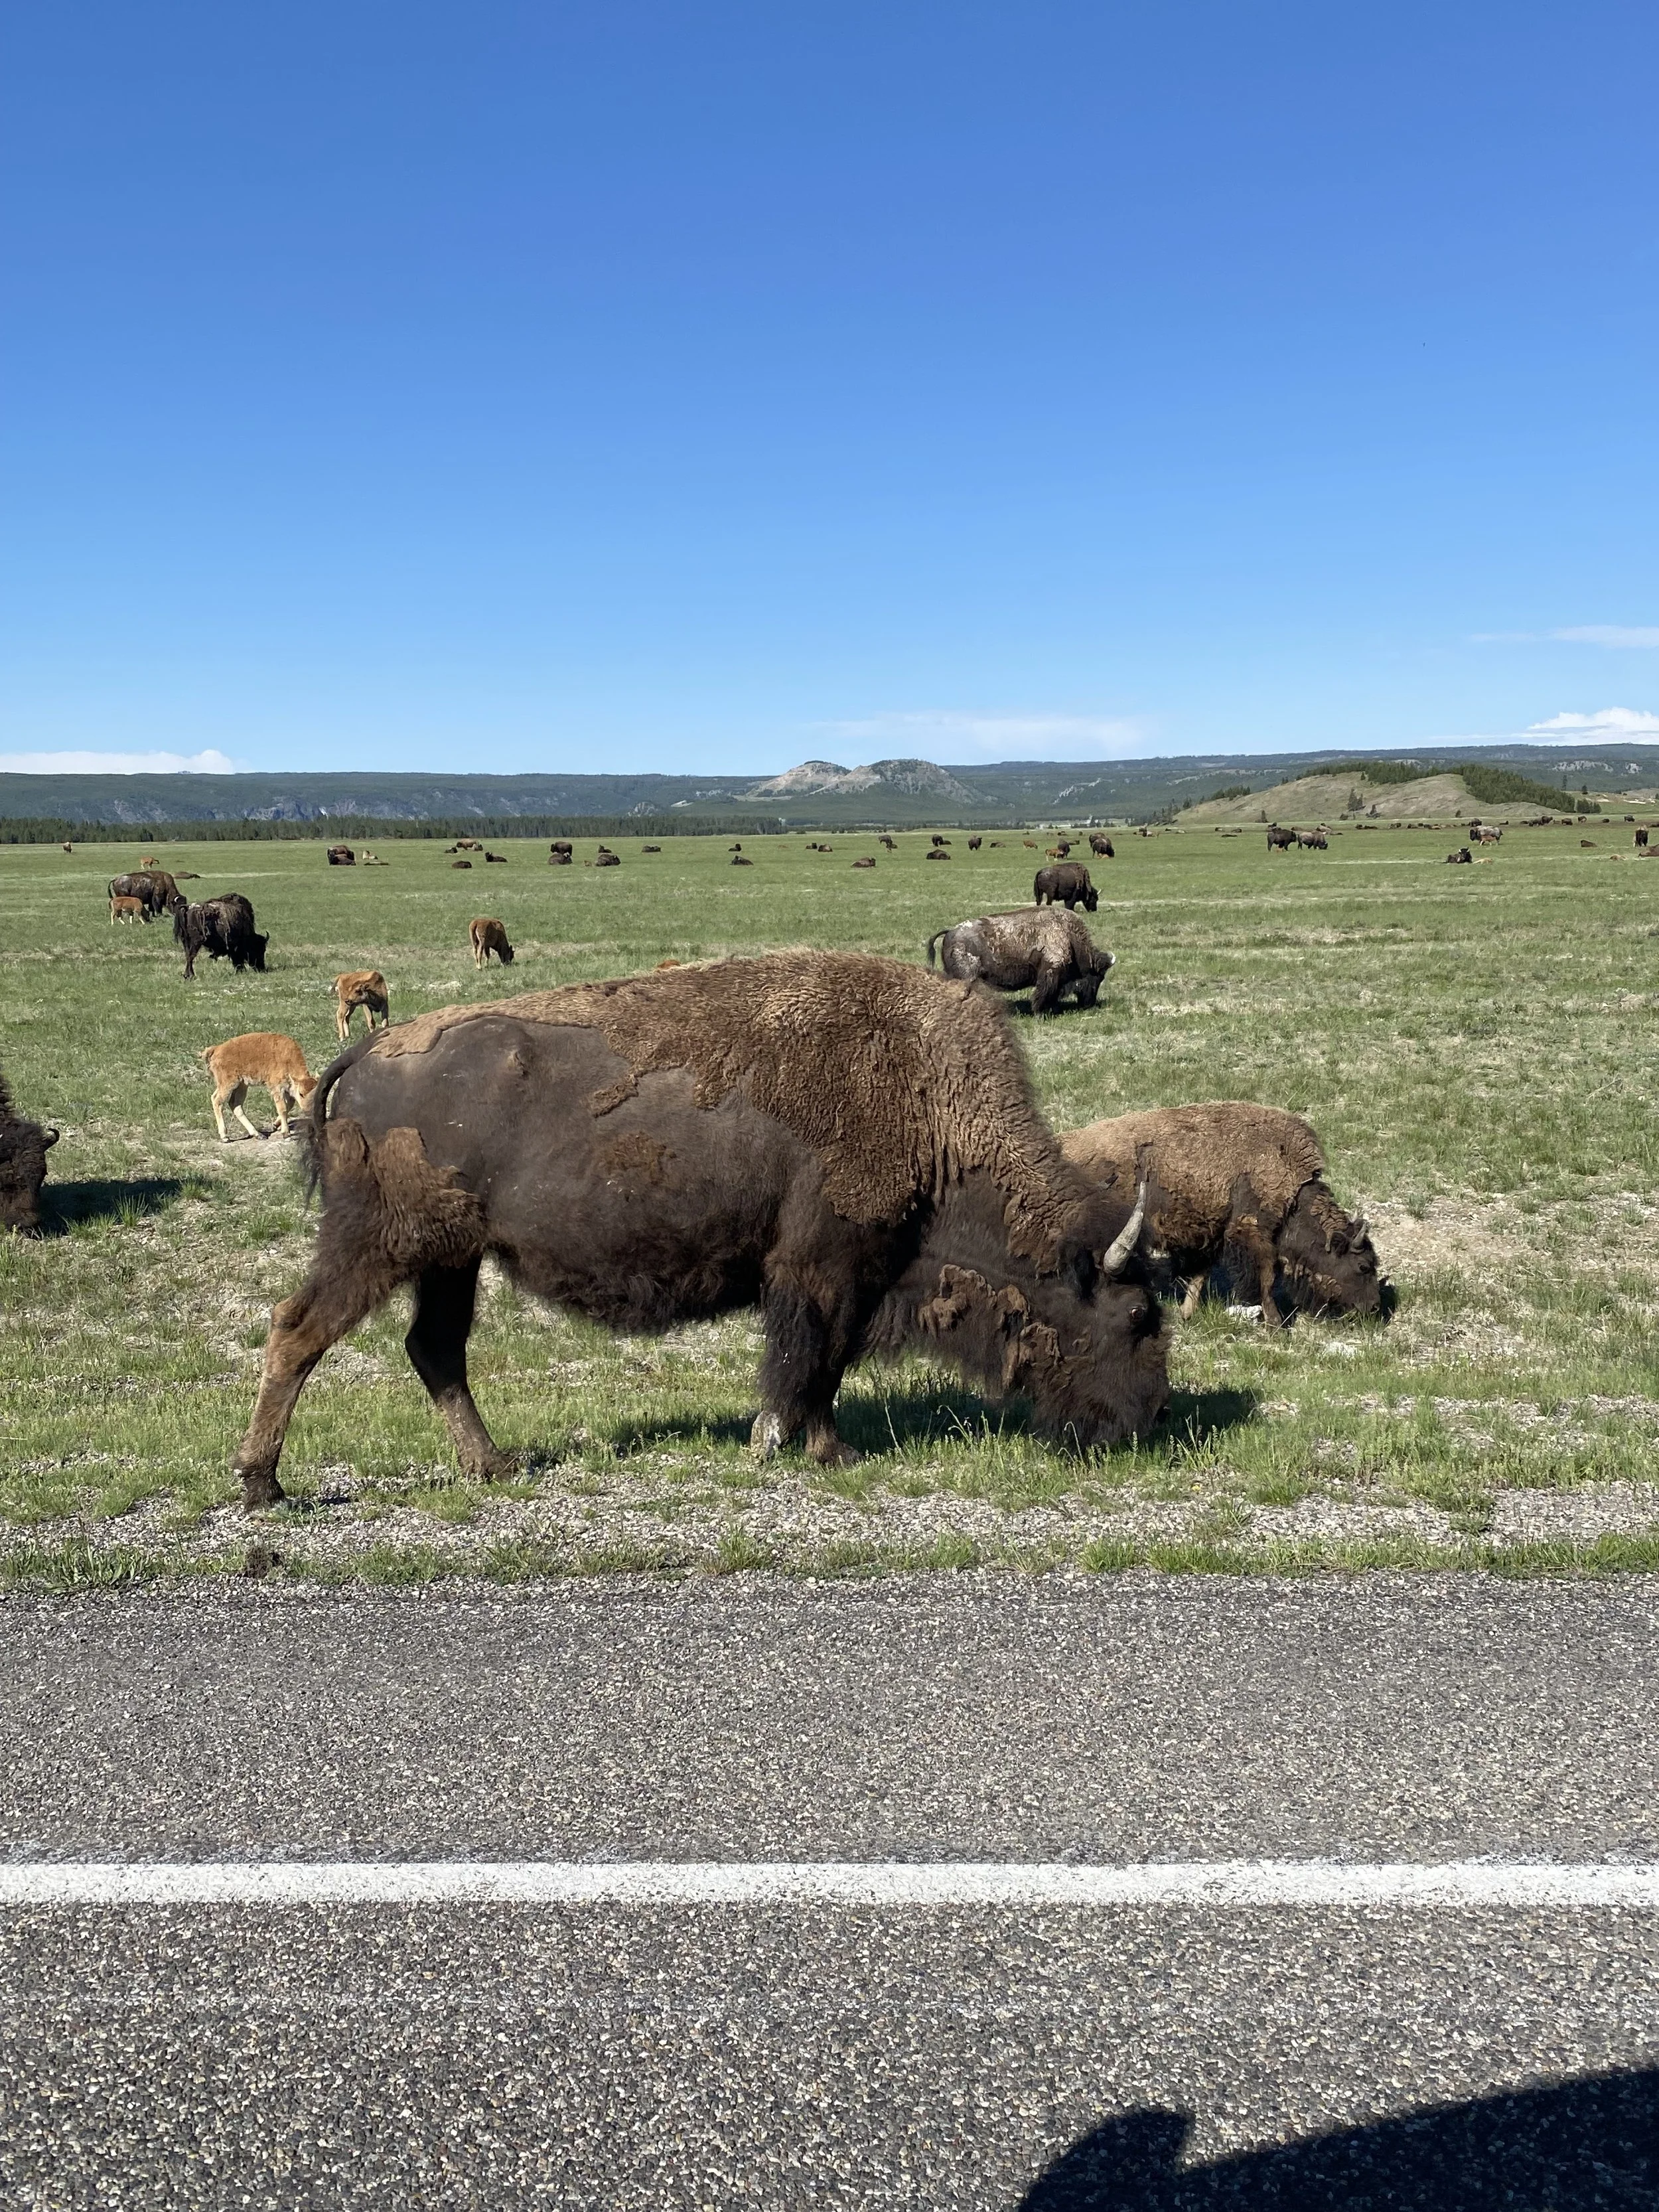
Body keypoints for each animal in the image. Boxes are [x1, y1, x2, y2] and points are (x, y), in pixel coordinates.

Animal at [173, 893, 267, 979]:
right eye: (259, 949)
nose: (262, 969)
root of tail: (187, 909)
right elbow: (237, 959)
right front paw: (241, 971)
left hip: (185, 940)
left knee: (188, 955)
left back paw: (187, 975)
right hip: (196, 942)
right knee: (191, 956)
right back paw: (191, 976)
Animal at [232, 953, 1169, 1508]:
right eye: (1134, 1318)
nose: (1148, 1421)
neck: (933, 1113)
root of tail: (364, 1055)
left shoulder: (851, 1274)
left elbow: (827, 1362)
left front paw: (815, 1446)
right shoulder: (825, 1267)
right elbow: (812, 1358)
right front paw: (799, 1447)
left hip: (451, 1258)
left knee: (434, 1349)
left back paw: (493, 1467)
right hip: (380, 1244)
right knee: (299, 1330)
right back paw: (262, 1485)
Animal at [927, 908, 1114, 1014]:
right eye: (1098, 977)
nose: (1089, 1004)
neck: (1069, 936)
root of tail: (950, 932)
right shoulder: (1050, 974)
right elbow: (1043, 994)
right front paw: (1040, 1013)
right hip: (968, 978)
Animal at [1062, 1102, 1386, 1327]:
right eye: (1363, 1266)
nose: (1374, 1308)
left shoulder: (1211, 1235)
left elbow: (1200, 1274)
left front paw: (1187, 1313)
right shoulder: (1252, 1233)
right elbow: (1267, 1277)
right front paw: (1276, 1324)